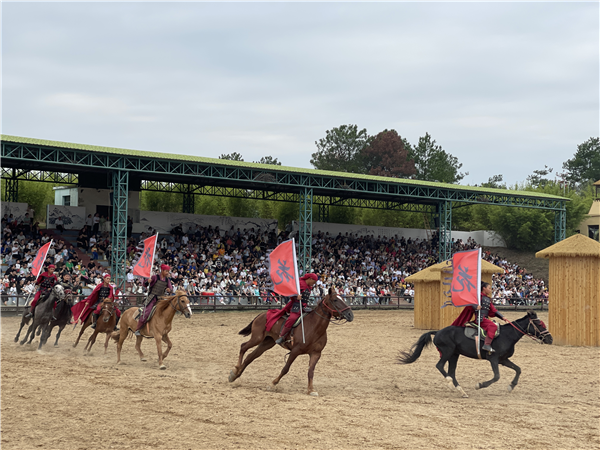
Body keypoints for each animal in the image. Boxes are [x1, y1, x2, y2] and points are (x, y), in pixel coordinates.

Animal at [398, 312, 552, 398]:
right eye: (540, 324)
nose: (550, 339)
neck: (506, 335)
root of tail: (438, 332)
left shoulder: (503, 360)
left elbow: (518, 369)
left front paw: (511, 386)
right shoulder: (493, 359)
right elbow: (496, 376)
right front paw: (480, 385)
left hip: (454, 355)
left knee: (451, 372)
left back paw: (460, 390)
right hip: (448, 352)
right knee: (440, 366)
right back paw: (451, 384)